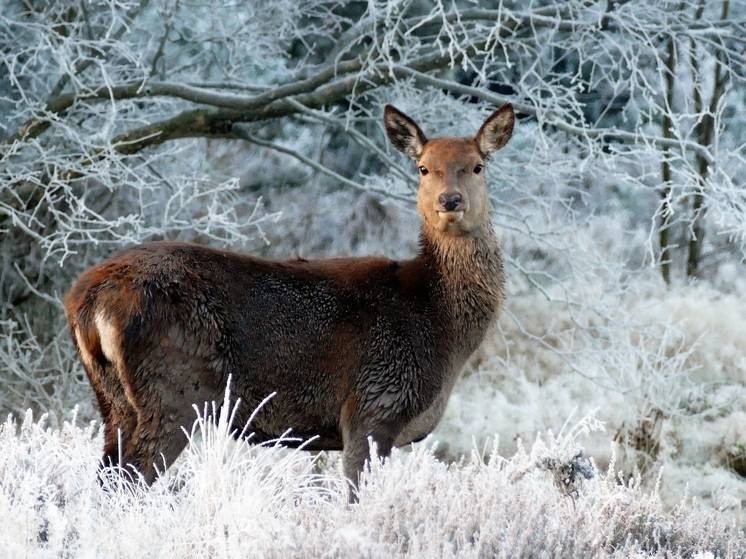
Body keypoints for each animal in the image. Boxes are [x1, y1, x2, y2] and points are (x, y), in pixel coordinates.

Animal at [65, 103, 512, 500]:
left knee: (105, 478)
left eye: (477, 166)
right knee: (127, 482)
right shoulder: (373, 405)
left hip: (113, 400)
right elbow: (356, 498)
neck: (438, 322)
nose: (450, 201)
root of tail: (86, 301)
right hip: (174, 390)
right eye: (423, 167)